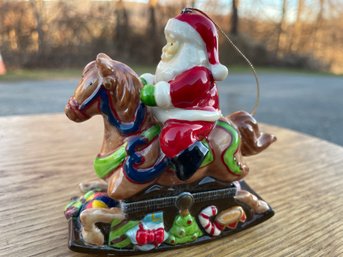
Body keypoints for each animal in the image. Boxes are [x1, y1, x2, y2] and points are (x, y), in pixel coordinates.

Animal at [65, 52, 276, 200]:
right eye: (81, 77)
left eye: (90, 83)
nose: (69, 111)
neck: (128, 139)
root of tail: (232, 122)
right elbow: (103, 189)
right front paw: (87, 188)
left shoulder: (124, 186)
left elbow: (113, 194)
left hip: (229, 166)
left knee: (242, 172)